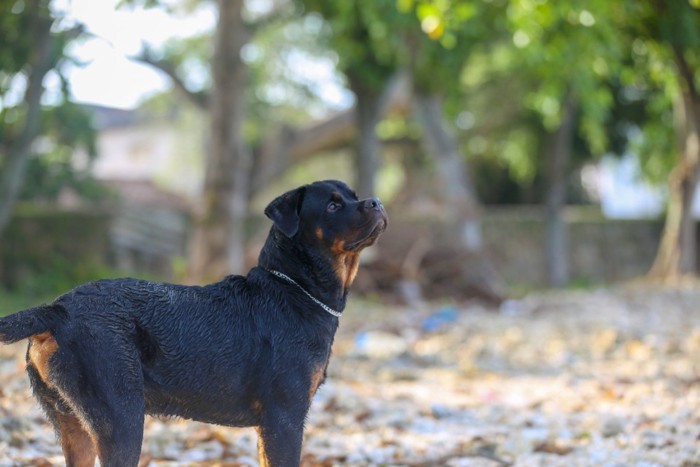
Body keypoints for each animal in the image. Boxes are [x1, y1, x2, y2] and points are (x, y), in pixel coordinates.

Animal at [0, 181, 388, 467]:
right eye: (333, 206)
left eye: (353, 195)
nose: (376, 202)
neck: (294, 288)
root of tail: (57, 310)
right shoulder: (285, 418)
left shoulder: (271, 426)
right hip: (121, 418)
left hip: (72, 425)